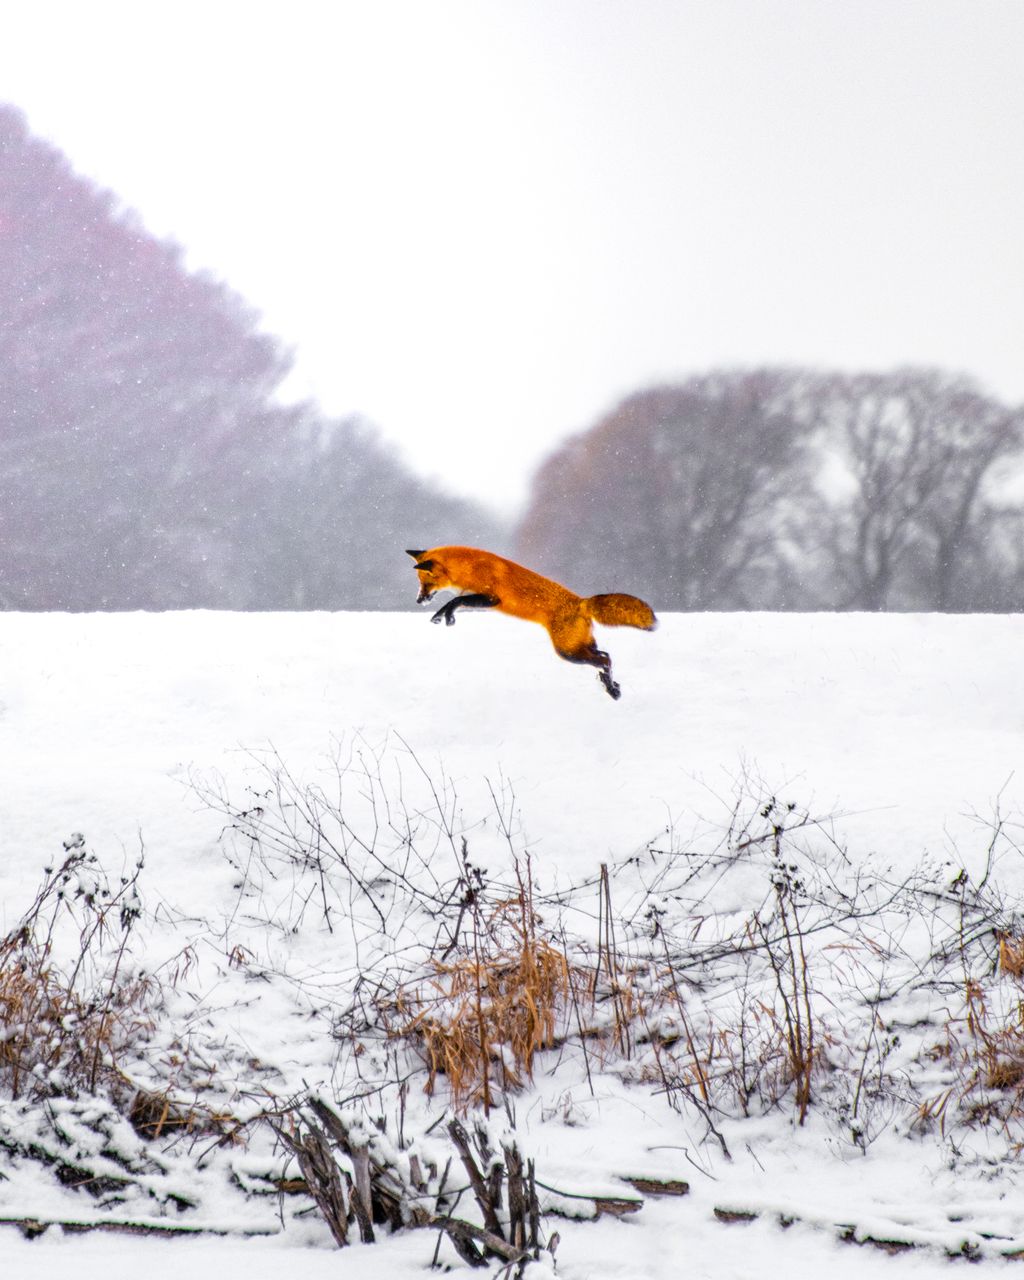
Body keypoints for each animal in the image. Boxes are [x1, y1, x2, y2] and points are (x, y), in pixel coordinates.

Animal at [405, 546, 656, 699]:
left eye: (425, 583)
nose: (418, 600)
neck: (469, 568)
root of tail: (581, 603)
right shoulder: (478, 598)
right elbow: (453, 601)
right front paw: (441, 616)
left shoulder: (491, 599)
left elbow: (455, 600)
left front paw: (446, 617)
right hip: (580, 646)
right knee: (606, 655)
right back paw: (612, 687)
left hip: (568, 652)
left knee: (604, 659)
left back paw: (611, 687)